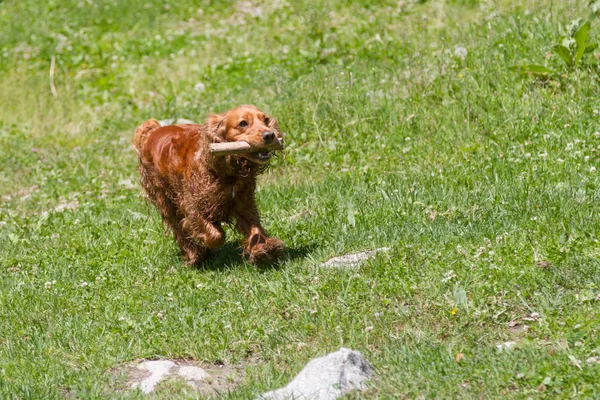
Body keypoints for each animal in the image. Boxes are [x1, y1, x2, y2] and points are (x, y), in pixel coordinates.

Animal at [135, 104, 284, 264]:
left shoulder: (245, 204)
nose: (270, 135)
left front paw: (263, 248)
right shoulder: (190, 205)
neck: (227, 174)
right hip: (164, 199)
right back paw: (194, 255)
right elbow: (216, 236)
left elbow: (255, 227)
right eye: (243, 123)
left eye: (266, 120)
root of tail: (152, 132)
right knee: (178, 228)